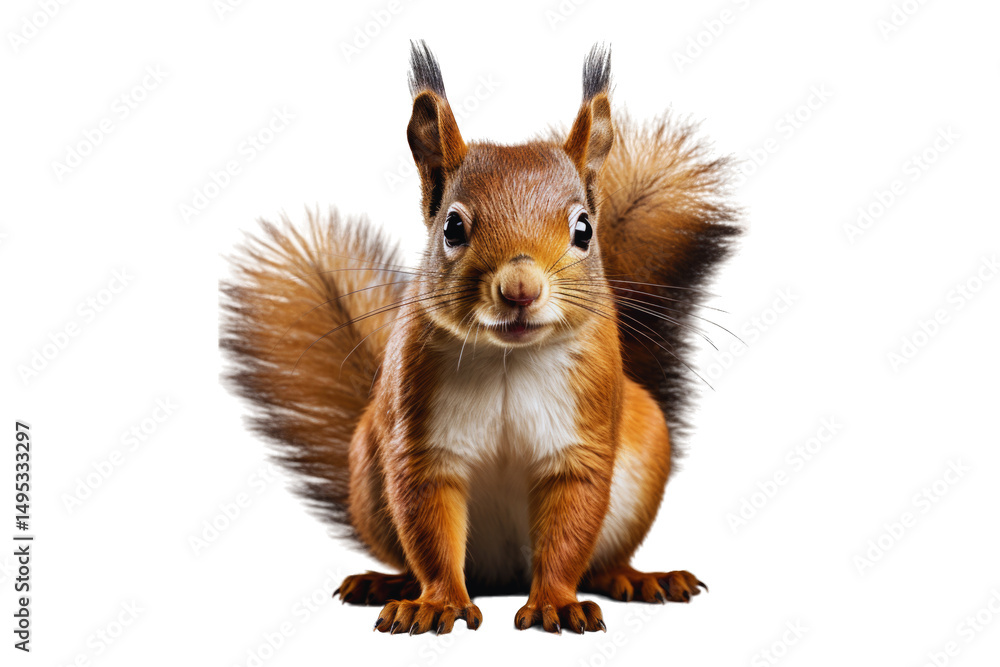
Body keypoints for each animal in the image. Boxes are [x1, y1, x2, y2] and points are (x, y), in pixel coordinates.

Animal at [221, 41, 739, 635]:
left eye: (584, 229)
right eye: (452, 227)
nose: (520, 289)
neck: (509, 359)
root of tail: (501, 576)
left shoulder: (579, 444)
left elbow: (569, 533)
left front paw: (556, 603)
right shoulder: (422, 446)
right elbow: (430, 534)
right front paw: (436, 604)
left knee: (600, 559)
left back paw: (638, 577)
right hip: (370, 469)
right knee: (412, 556)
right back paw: (389, 584)